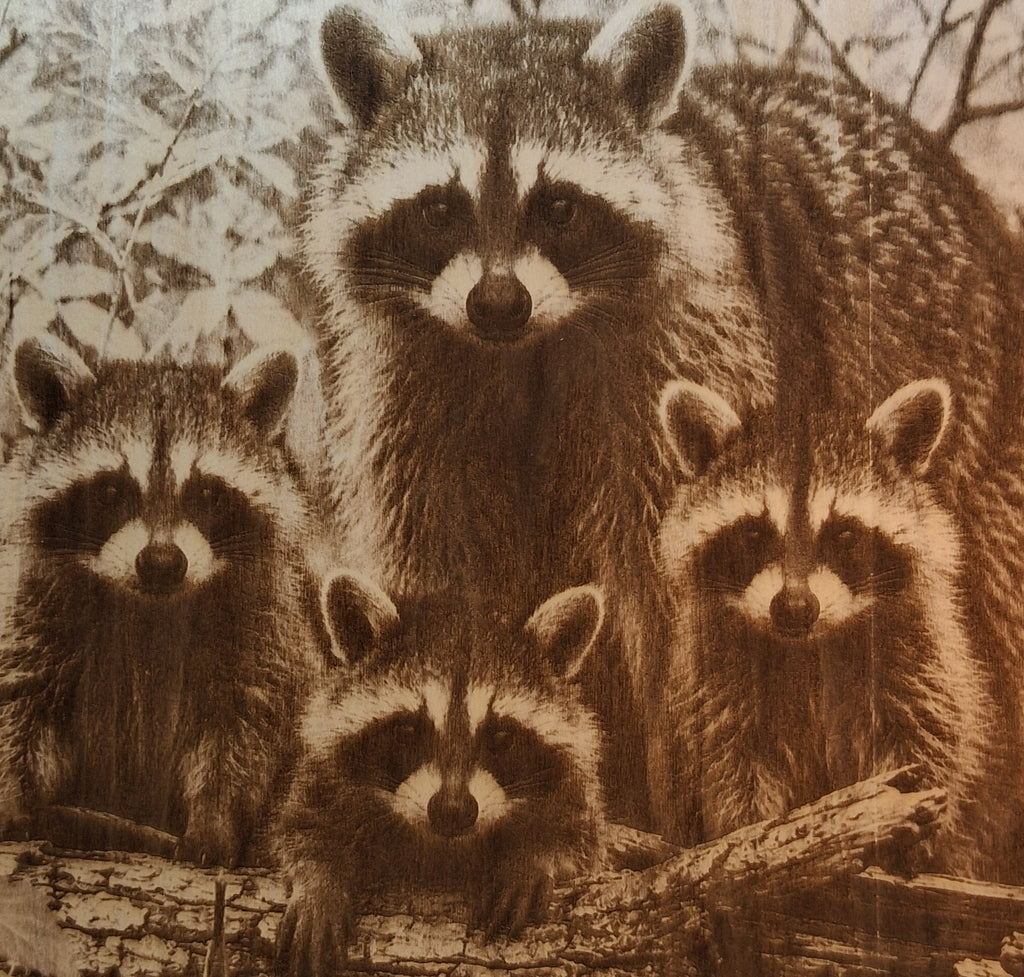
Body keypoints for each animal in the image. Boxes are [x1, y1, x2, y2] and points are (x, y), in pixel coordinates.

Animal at [0, 336, 324, 866]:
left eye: (207, 493)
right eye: (111, 490)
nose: (161, 562)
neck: (150, 607)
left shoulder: (261, 621)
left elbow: (243, 724)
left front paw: (215, 818)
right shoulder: (33, 601)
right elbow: (20, 698)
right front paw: (12, 798)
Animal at [275, 573, 606, 974]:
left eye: (500, 735)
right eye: (407, 730)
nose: (452, 810)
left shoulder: (571, 783)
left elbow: (579, 836)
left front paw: (536, 854)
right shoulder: (327, 769)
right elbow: (305, 823)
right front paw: (318, 879)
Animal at [656, 378, 1006, 875]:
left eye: (843, 533)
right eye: (754, 533)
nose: (794, 608)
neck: (810, 647)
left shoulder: (916, 648)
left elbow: (926, 734)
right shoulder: (719, 667)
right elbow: (731, 759)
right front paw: (745, 834)